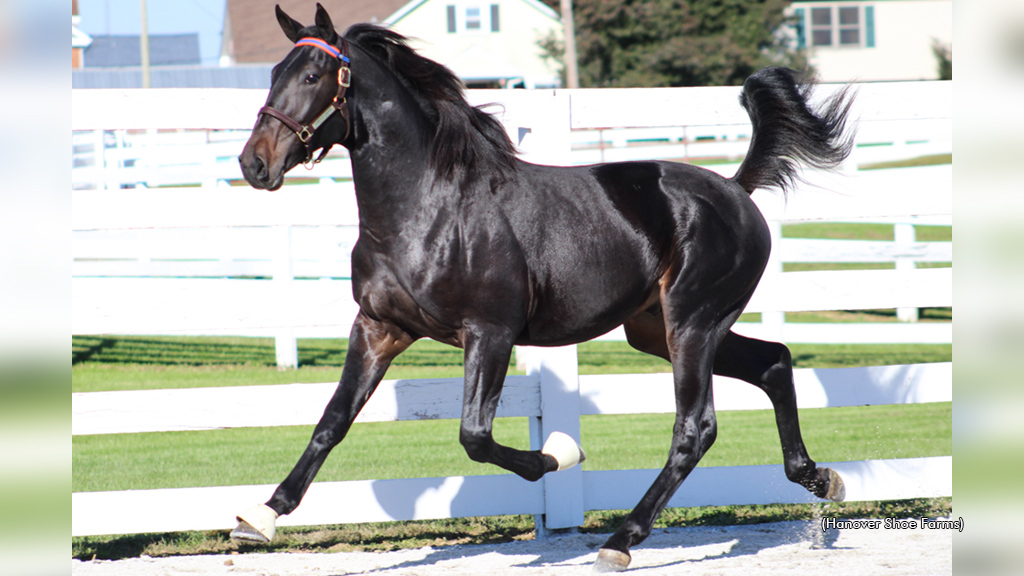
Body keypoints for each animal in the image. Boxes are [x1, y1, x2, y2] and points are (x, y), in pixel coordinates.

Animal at [235, 4, 851, 569]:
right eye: (275, 73)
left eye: (313, 76)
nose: (254, 164)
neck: (427, 207)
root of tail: (734, 187)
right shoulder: (379, 328)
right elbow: (332, 422)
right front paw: (261, 517)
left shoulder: (490, 332)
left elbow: (476, 437)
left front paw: (560, 454)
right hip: (659, 329)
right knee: (774, 362)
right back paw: (821, 479)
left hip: (693, 324)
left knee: (695, 428)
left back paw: (621, 540)